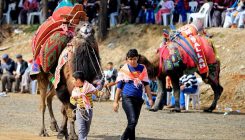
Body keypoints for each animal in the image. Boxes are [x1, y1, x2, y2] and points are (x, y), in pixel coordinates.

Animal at [30, 2, 101, 139]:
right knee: (43, 103)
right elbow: (70, 111)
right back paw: (43, 131)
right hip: (42, 76)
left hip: (55, 81)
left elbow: (69, 110)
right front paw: (71, 135)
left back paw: (55, 126)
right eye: (78, 29)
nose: (87, 26)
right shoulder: (65, 87)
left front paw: (65, 132)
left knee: (49, 98)